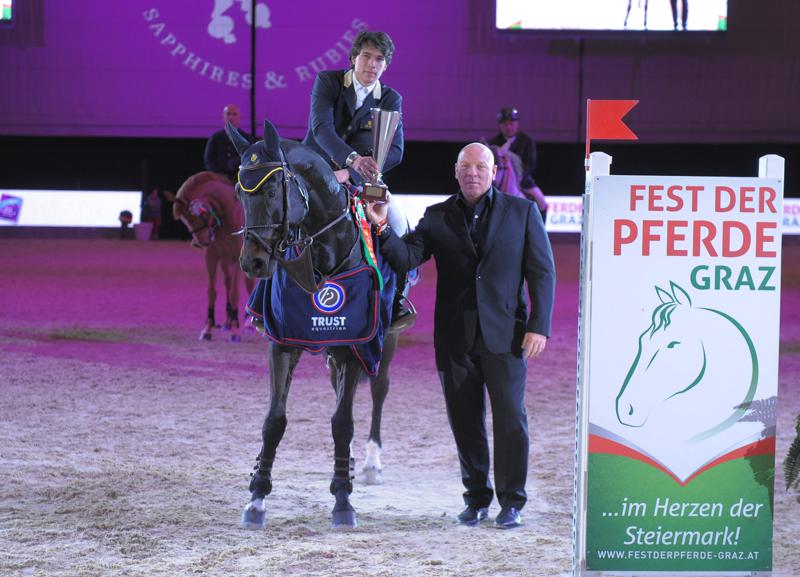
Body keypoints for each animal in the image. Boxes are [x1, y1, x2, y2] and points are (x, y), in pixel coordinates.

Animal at [170, 171, 255, 342]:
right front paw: (207, 329)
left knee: (249, 284)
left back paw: (248, 323)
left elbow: (235, 293)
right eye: (185, 220)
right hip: (225, 261)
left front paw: (235, 332)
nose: (202, 242)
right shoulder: (211, 257)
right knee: (227, 282)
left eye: (196, 216)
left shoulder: (238, 258)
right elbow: (212, 291)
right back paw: (229, 321)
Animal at [230, 120, 406, 528]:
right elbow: (274, 421)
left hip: (383, 342)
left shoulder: (355, 346)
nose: (253, 262)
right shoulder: (283, 344)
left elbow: (342, 422)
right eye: (239, 192)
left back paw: (370, 463)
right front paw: (257, 497)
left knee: (379, 390)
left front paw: (343, 501)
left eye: (273, 188)